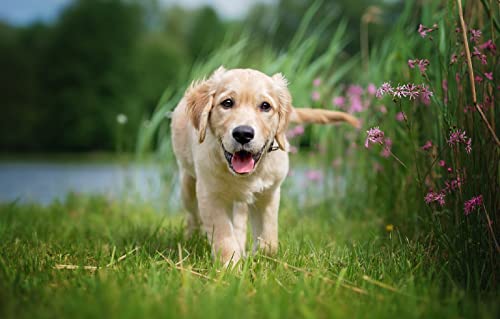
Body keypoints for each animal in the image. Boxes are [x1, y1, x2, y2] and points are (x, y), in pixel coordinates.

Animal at [172, 67, 360, 264]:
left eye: (265, 106)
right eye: (227, 103)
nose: (243, 133)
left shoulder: (268, 193)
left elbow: (269, 240)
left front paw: (260, 260)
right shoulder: (210, 194)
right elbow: (224, 237)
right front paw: (230, 266)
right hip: (188, 186)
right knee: (193, 216)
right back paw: (192, 237)